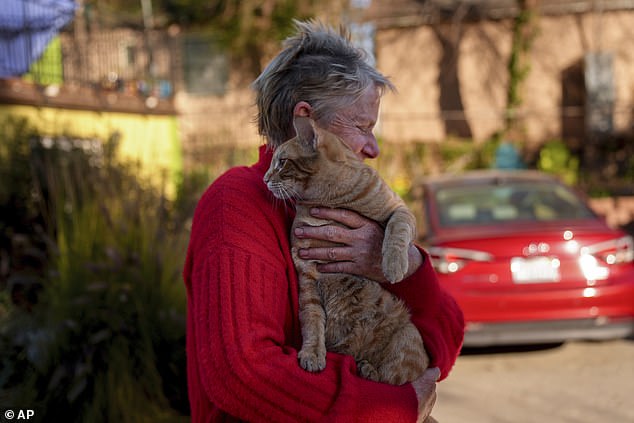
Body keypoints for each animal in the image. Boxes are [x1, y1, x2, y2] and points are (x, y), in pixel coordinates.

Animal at [262, 117, 430, 388]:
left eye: (282, 161)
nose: (265, 179)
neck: (332, 200)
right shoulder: (307, 276)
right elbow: (312, 321)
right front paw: (312, 354)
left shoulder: (400, 210)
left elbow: (396, 231)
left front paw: (393, 265)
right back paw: (362, 366)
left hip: (407, 338)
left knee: (393, 378)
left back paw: (368, 369)